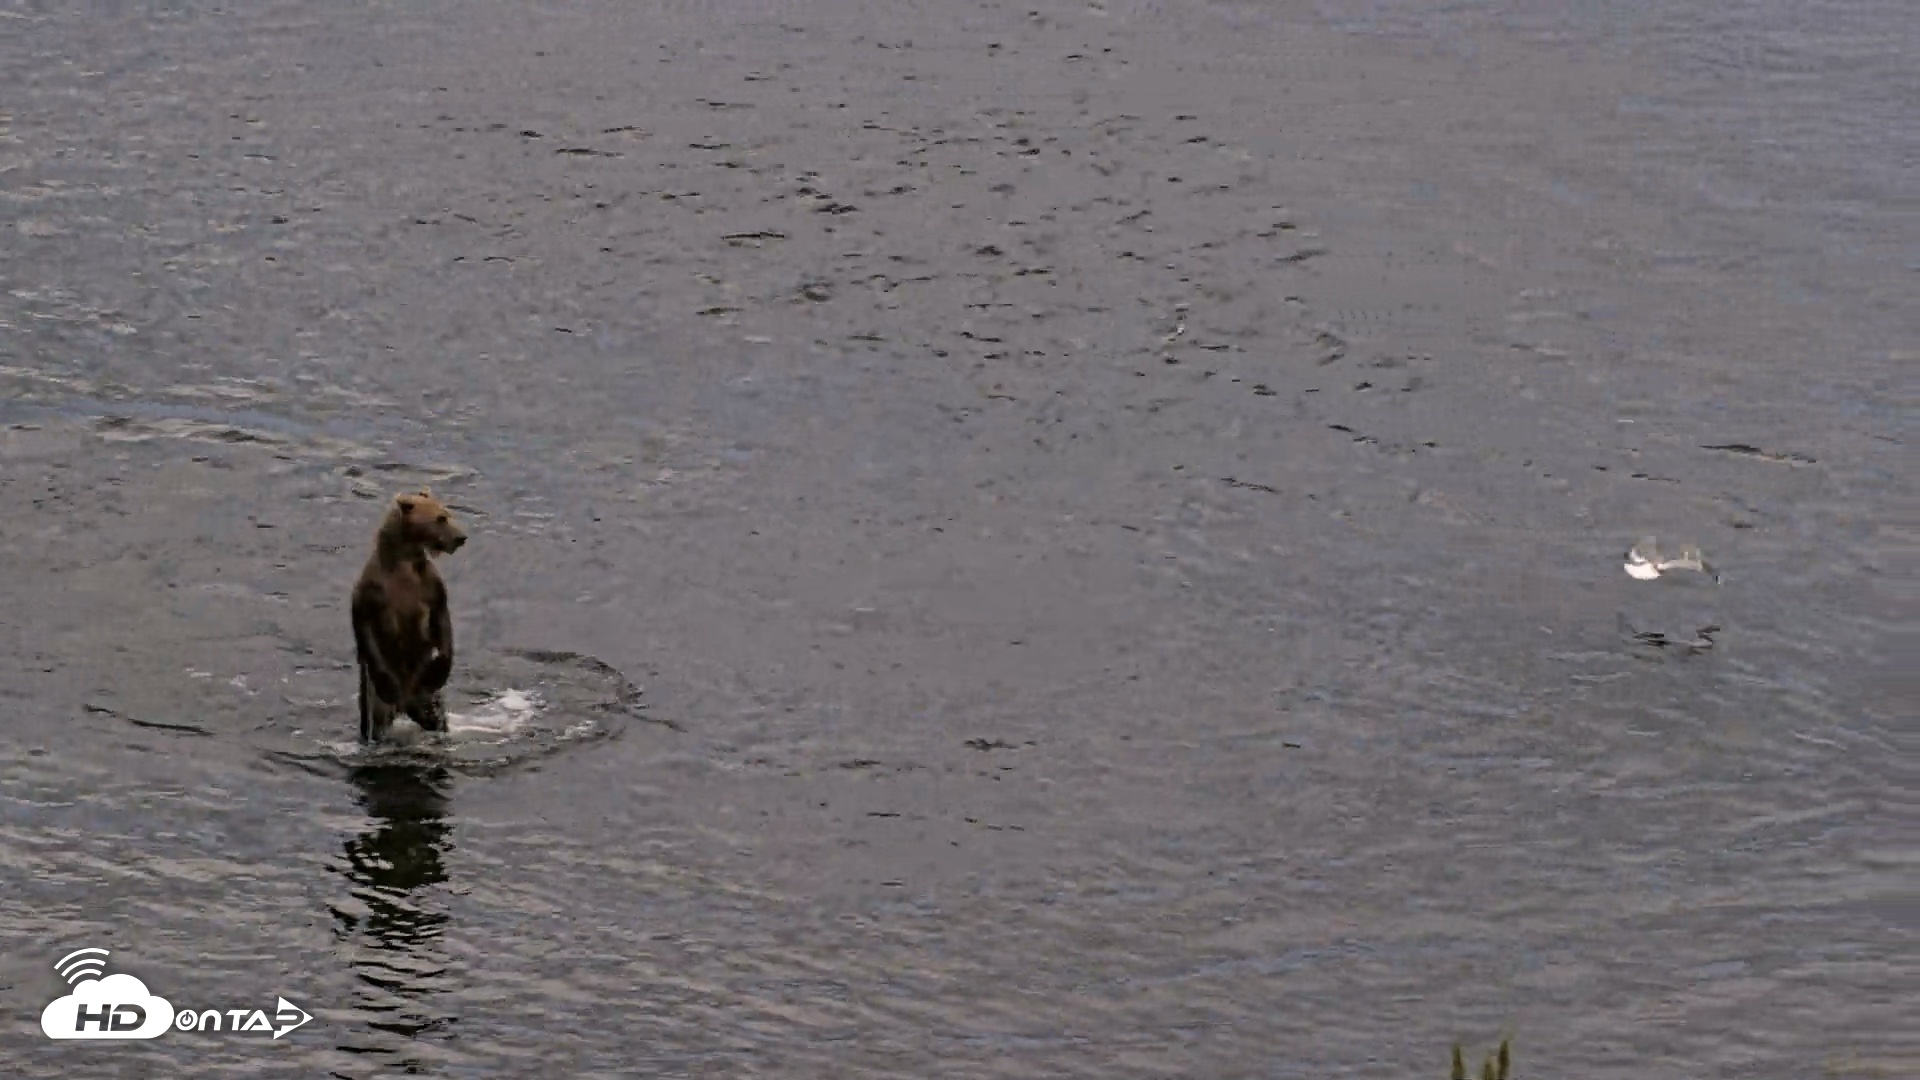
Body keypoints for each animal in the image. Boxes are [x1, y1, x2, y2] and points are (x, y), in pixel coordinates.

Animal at [351, 487, 466, 743]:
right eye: (441, 518)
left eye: (448, 513)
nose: (461, 537)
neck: (402, 562)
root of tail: (405, 705)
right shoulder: (373, 590)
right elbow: (363, 624)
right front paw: (387, 681)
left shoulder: (430, 586)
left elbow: (441, 619)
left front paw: (441, 666)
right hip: (376, 699)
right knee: (375, 721)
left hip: (426, 693)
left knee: (434, 714)